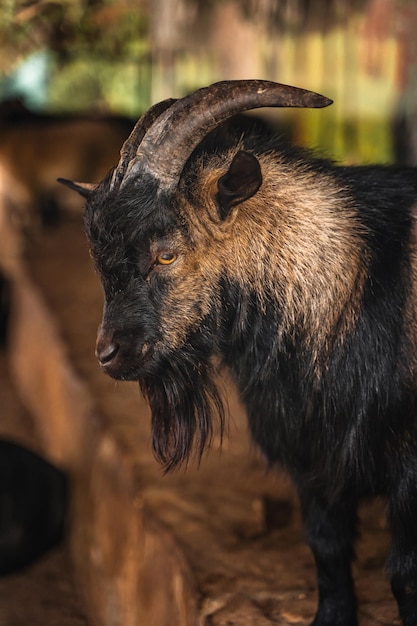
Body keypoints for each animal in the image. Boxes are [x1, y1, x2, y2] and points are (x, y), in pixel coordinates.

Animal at [59, 81, 417, 624]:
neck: (352, 285)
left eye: (166, 253)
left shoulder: (407, 467)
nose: (110, 354)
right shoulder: (311, 456)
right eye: (99, 262)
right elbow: (327, 548)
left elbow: (402, 573)